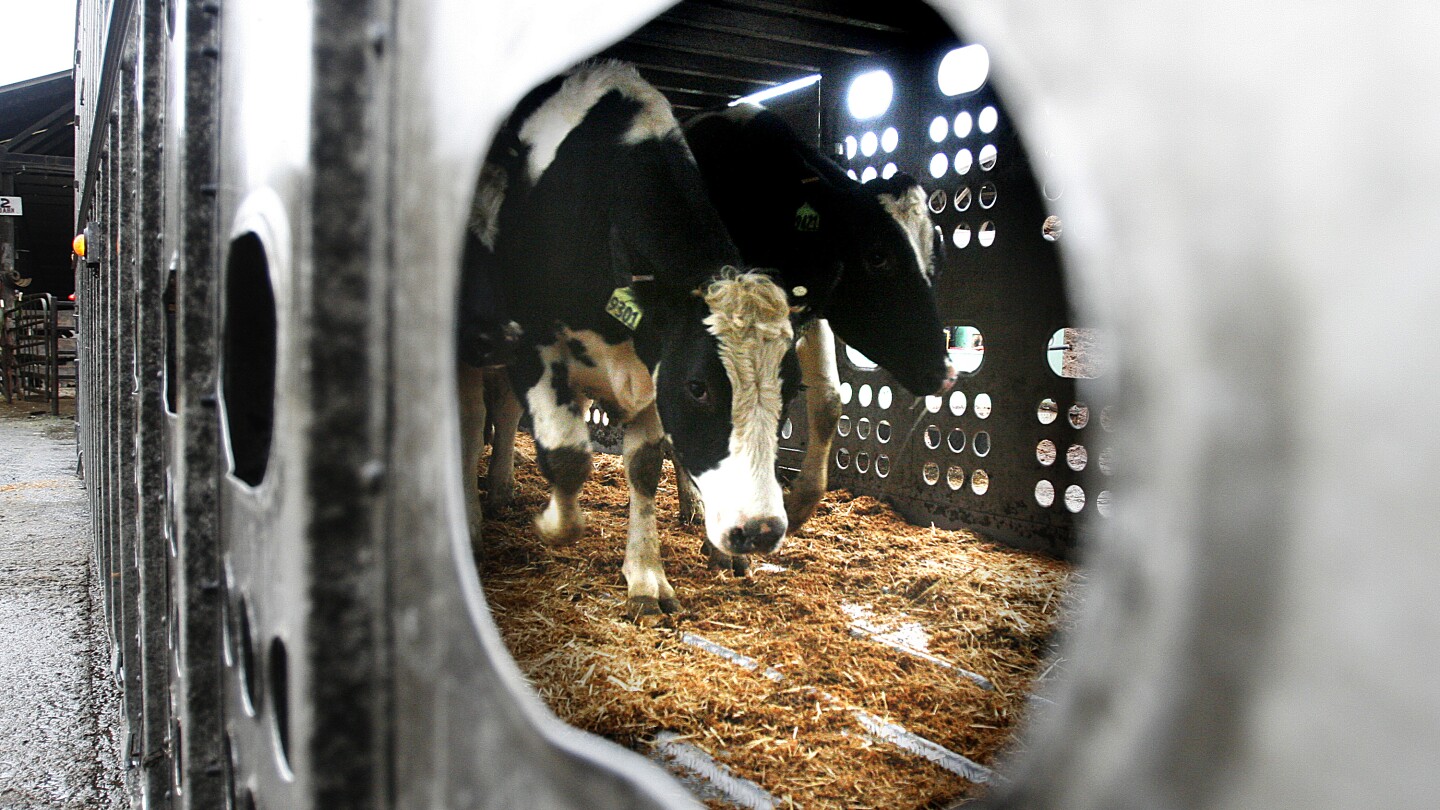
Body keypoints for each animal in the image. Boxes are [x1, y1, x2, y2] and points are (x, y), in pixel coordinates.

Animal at [457, 61, 802, 618]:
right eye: (698, 387)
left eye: (790, 390)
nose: (761, 530)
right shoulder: (528, 344)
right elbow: (568, 456)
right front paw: (553, 525)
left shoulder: (651, 368)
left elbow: (643, 468)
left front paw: (645, 577)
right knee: (472, 420)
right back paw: (473, 518)